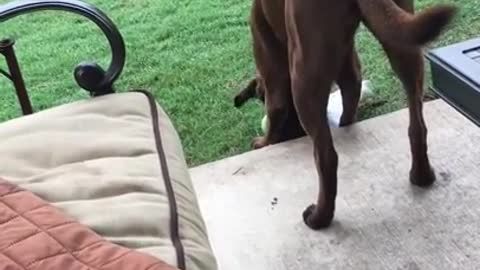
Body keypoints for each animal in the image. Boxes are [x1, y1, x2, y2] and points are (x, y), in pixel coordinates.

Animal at [251, 0, 458, 230]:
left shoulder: (271, 67)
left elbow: (276, 110)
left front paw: (262, 143)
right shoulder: (350, 66)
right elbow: (350, 100)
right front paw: (345, 123)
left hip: (304, 77)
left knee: (326, 157)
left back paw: (319, 218)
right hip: (403, 42)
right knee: (417, 125)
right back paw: (422, 176)